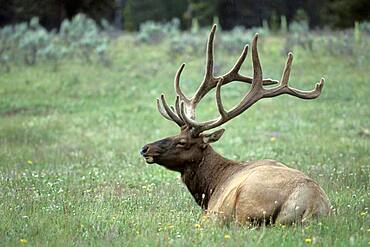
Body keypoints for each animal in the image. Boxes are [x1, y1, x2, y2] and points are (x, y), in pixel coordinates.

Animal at [140, 25, 330, 226]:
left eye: (182, 142)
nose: (145, 148)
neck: (210, 187)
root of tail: (312, 206)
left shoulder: (211, 212)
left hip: (245, 206)